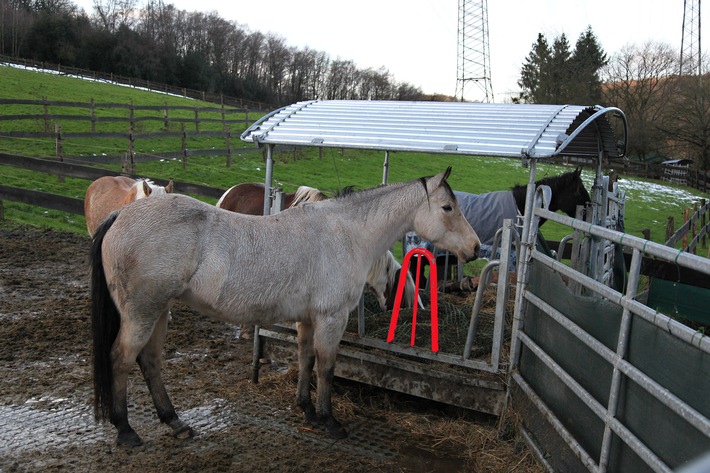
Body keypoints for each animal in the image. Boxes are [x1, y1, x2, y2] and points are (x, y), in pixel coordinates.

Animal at [87, 168, 478, 444]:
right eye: (447, 207)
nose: (475, 249)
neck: (347, 234)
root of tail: (121, 215)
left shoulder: (308, 320)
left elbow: (305, 360)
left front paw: (307, 411)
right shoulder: (331, 319)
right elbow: (326, 368)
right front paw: (330, 421)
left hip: (159, 312)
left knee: (150, 362)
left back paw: (175, 422)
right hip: (143, 313)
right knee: (121, 359)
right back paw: (126, 431)